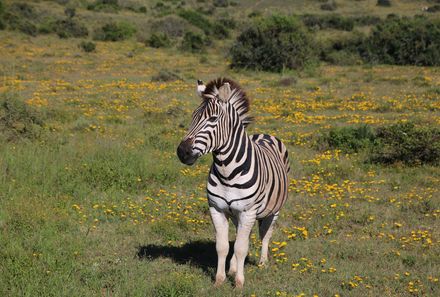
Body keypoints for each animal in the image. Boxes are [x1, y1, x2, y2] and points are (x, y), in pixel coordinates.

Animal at [177, 76, 290, 286]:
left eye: (213, 119)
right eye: (193, 117)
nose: (182, 152)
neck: (226, 172)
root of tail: (265, 134)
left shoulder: (248, 211)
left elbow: (240, 247)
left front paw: (238, 283)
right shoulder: (217, 209)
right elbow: (223, 246)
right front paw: (220, 279)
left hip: (273, 210)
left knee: (266, 234)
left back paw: (262, 262)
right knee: (240, 235)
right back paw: (233, 267)